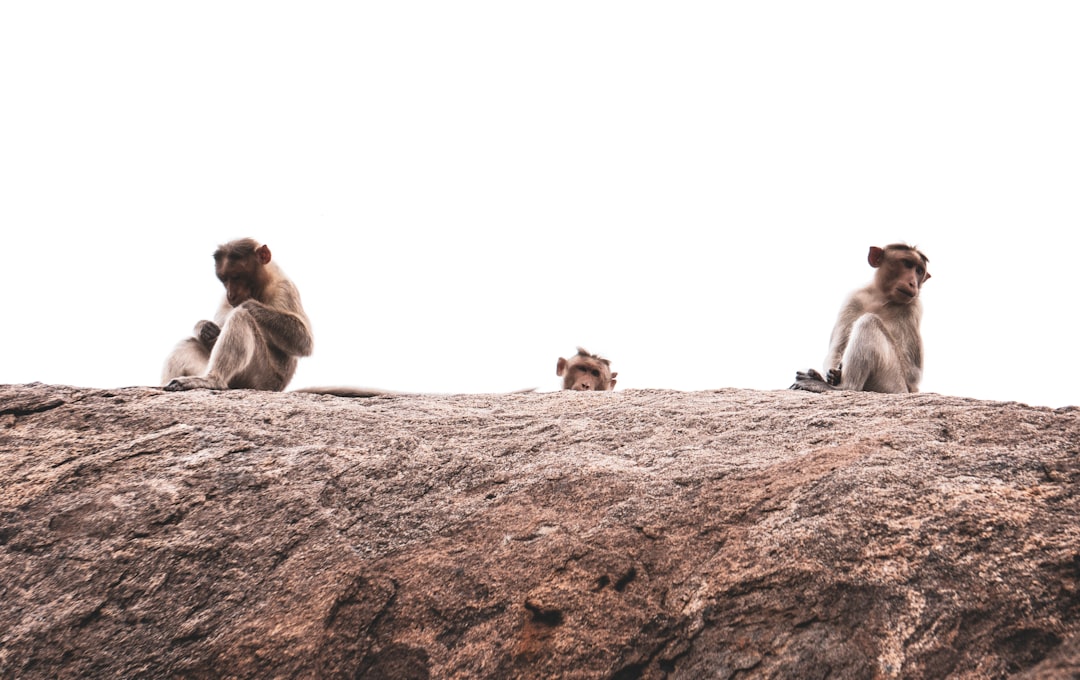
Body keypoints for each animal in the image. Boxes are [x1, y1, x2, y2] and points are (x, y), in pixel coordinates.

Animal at [159, 239, 315, 390]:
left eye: (236, 277)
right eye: (224, 279)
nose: (230, 295)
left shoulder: (284, 288)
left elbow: (303, 341)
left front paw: (246, 304)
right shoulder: (225, 299)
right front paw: (204, 327)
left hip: (260, 378)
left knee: (241, 317)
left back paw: (213, 380)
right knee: (189, 342)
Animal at [790, 243, 933, 395]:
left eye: (919, 271)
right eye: (907, 264)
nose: (913, 283)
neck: (882, 298)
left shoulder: (914, 307)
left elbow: (913, 373)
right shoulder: (854, 298)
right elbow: (837, 348)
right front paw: (833, 374)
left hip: (893, 384)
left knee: (868, 322)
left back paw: (841, 387)